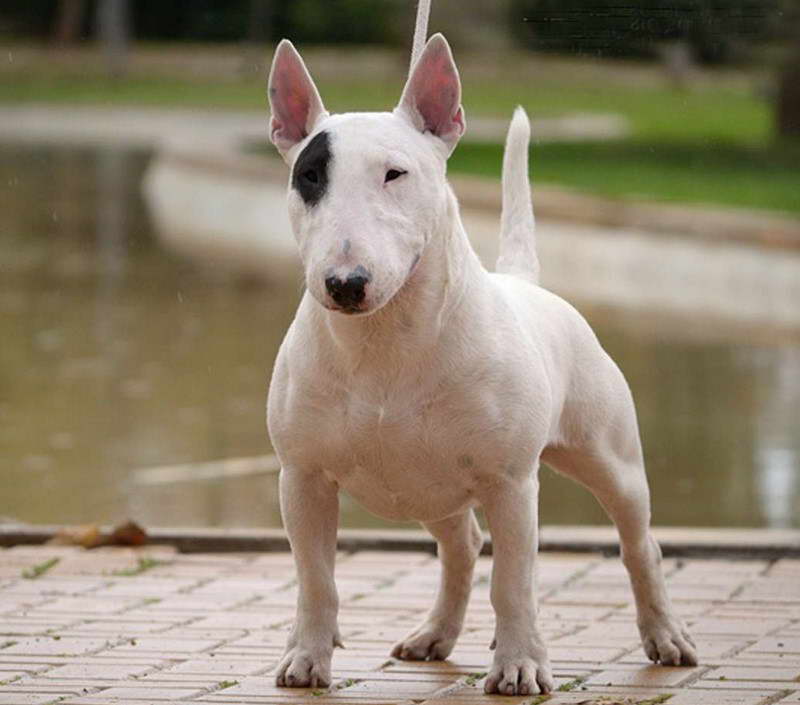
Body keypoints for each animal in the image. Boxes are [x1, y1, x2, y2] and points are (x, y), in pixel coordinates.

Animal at [266, 31, 696, 692]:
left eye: (395, 173)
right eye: (309, 175)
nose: (345, 284)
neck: (385, 342)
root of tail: (526, 281)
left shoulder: (511, 483)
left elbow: (514, 582)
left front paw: (519, 664)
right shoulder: (303, 479)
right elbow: (317, 580)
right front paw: (307, 657)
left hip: (611, 459)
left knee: (638, 544)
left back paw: (665, 636)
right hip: (429, 483)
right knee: (462, 544)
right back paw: (433, 634)